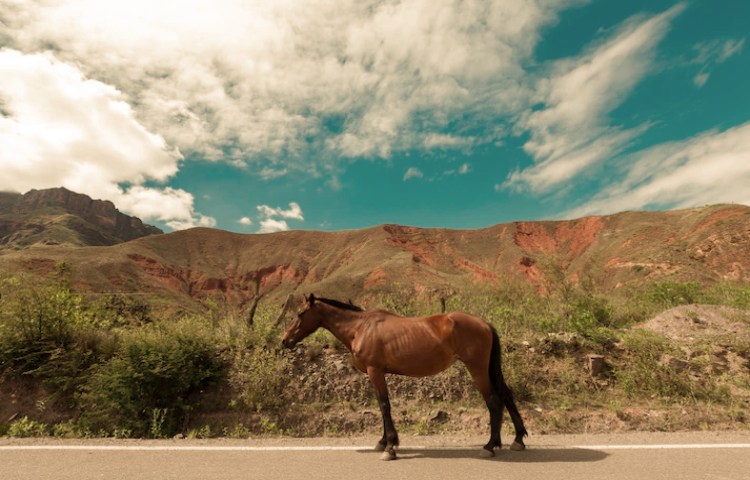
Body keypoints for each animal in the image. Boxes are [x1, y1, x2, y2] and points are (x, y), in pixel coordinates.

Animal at [282, 292, 528, 462]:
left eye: (300, 313)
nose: (285, 340)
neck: (361, 327)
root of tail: (484, 324)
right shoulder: (377, 373)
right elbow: (382, 407)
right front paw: (383, 442)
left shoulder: (375, 371)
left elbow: (384, 406)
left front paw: (390, 447)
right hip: (487, 369)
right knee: (506, 396)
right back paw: (516, 439)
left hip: (477, 369)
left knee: (494, 401)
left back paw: (489, 446)